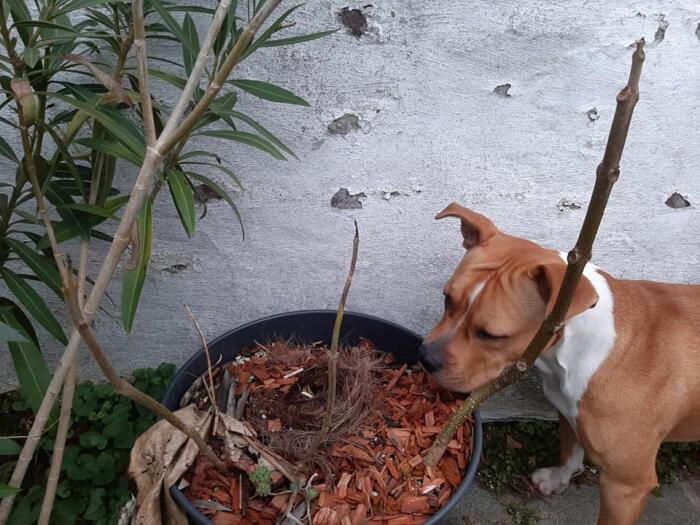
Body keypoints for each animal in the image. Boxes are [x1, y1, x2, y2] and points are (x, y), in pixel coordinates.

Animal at [418, 202, 700, 524]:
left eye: (491, 335)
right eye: (447, 299)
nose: (426, 357)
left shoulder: (627, 486)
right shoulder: (567, 413)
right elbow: (570, 450)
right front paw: (558, 479)